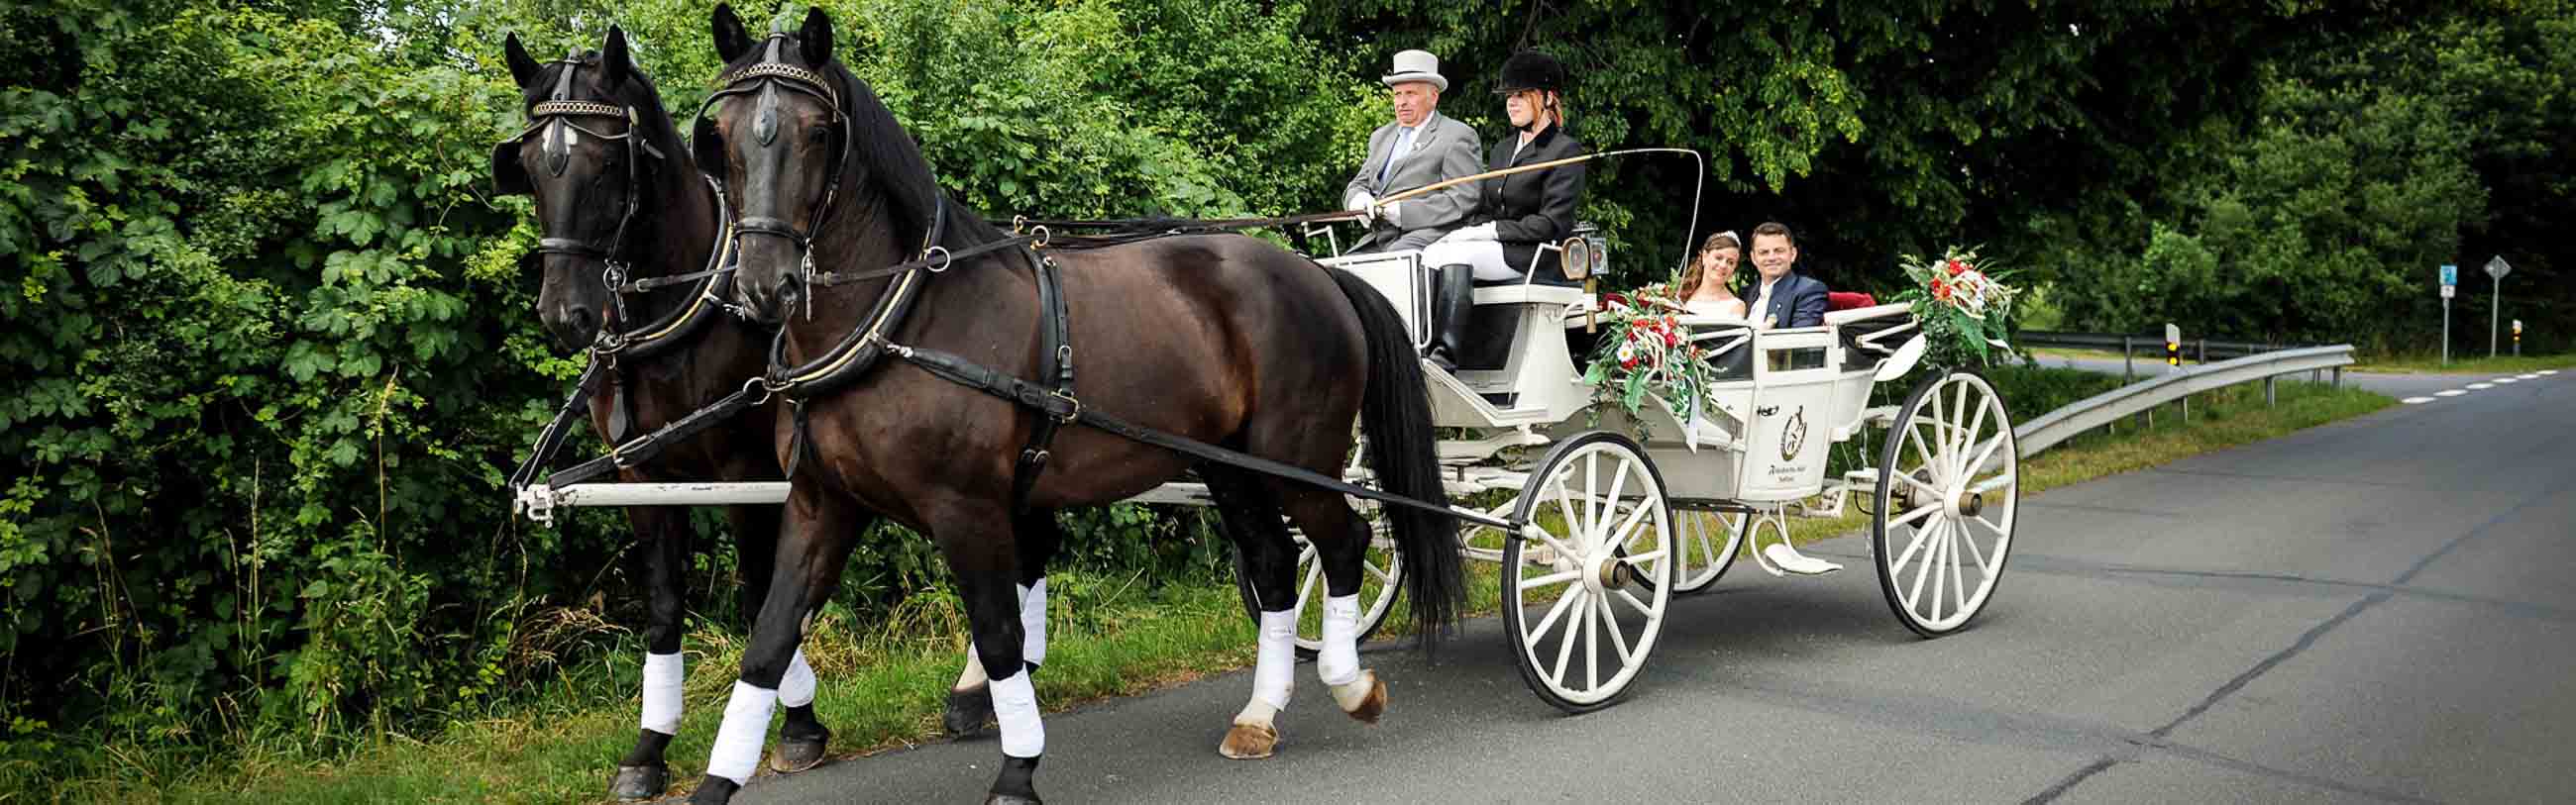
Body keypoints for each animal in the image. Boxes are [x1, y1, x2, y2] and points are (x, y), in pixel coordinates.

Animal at [491, 28, 834, 797]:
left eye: (603, 165)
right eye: (527, 166)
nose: (564, 313)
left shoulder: (744, 470)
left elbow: (760, 596)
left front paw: (798, 726)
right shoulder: (639, 477)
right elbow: (662, 607)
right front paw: (649, 748)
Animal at [675, 7, 1462, 802]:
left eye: (816, 132)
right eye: (723, 135)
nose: (763, 285)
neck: (899, 317)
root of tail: (1320, 275)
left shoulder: (967, 508)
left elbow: (999, 640)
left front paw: (1018, 768)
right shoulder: (821, 504)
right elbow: (768, 644)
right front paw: (719, 781)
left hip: (1295, 461)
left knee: (1345, 542)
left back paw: (1350, 682)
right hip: (1230, 467)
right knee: (1273, 565)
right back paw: (1260, 714)